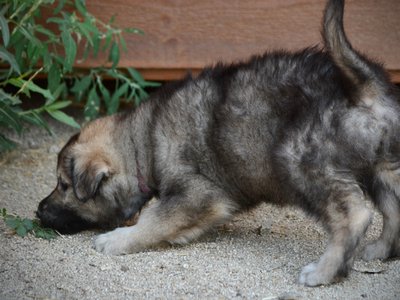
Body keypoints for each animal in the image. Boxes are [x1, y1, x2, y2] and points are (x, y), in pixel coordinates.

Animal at [36, 0, 398, 286]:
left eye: (64, 185)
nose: (39, 210)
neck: (143, 141)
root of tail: (363, 85)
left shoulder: (197, 192)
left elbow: (153, 220)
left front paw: (116, 240)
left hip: (301, 160)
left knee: (355, 215)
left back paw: (324, 272)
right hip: (380, 169)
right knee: (393, 208)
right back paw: (380, 251)